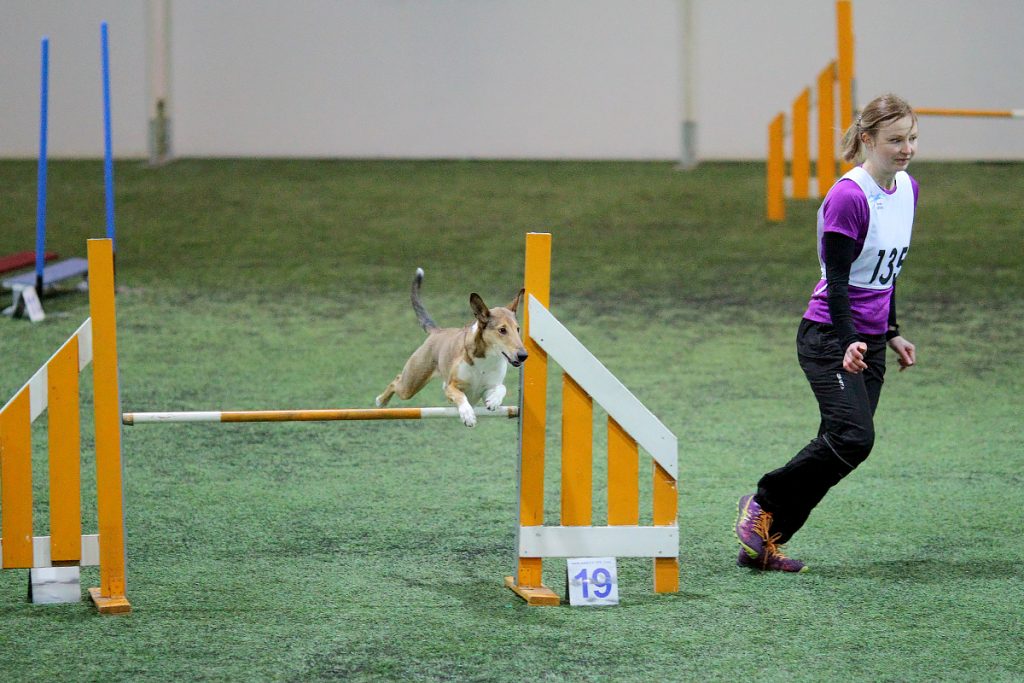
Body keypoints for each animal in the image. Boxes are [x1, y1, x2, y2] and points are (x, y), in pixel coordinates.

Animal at [375, 268, 527, 427]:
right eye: (502, 330)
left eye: (517, 329)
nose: (523, 355)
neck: (486, 360)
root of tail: (438, 331)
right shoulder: (451, 387)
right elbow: (460, 396)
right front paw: (468, 415)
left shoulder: (486, 388)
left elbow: (502, 388)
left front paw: (493, 401)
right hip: (411, 383)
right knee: (396, 381)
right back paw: (381, 401)